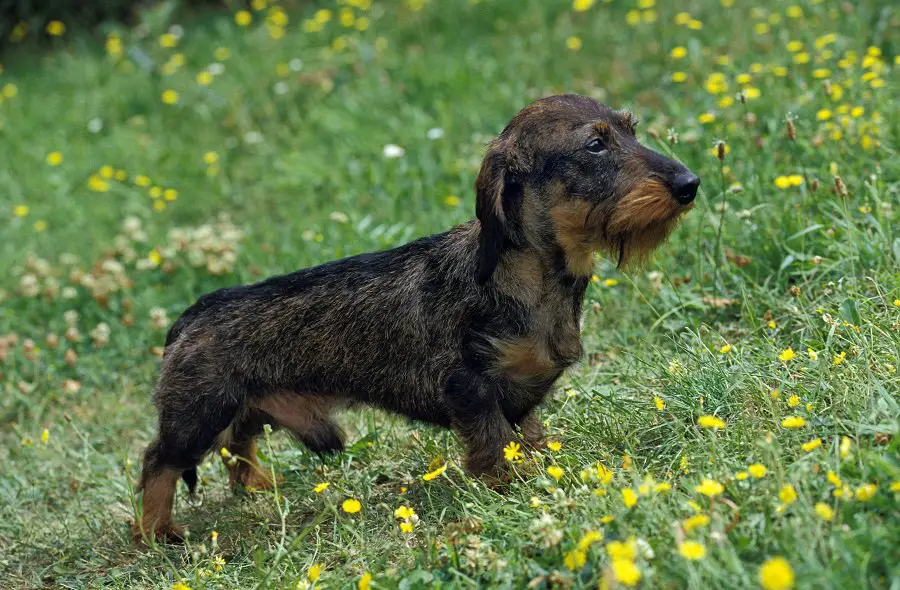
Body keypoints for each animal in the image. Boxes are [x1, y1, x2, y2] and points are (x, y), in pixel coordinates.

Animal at [134, 95, 700, 544]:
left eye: (631, 130)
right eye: (595, 145)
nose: (690, 183)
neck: (533, 276)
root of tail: (191, 314)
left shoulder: (521, 394)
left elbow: (530, 438)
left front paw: (542, 467)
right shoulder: (470, 388)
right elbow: (494, 445)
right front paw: (511, 488)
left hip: (247, 405)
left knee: (238, 445)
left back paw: (256, 486)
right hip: (199, 412)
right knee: (158, 461)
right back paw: (156, 531)